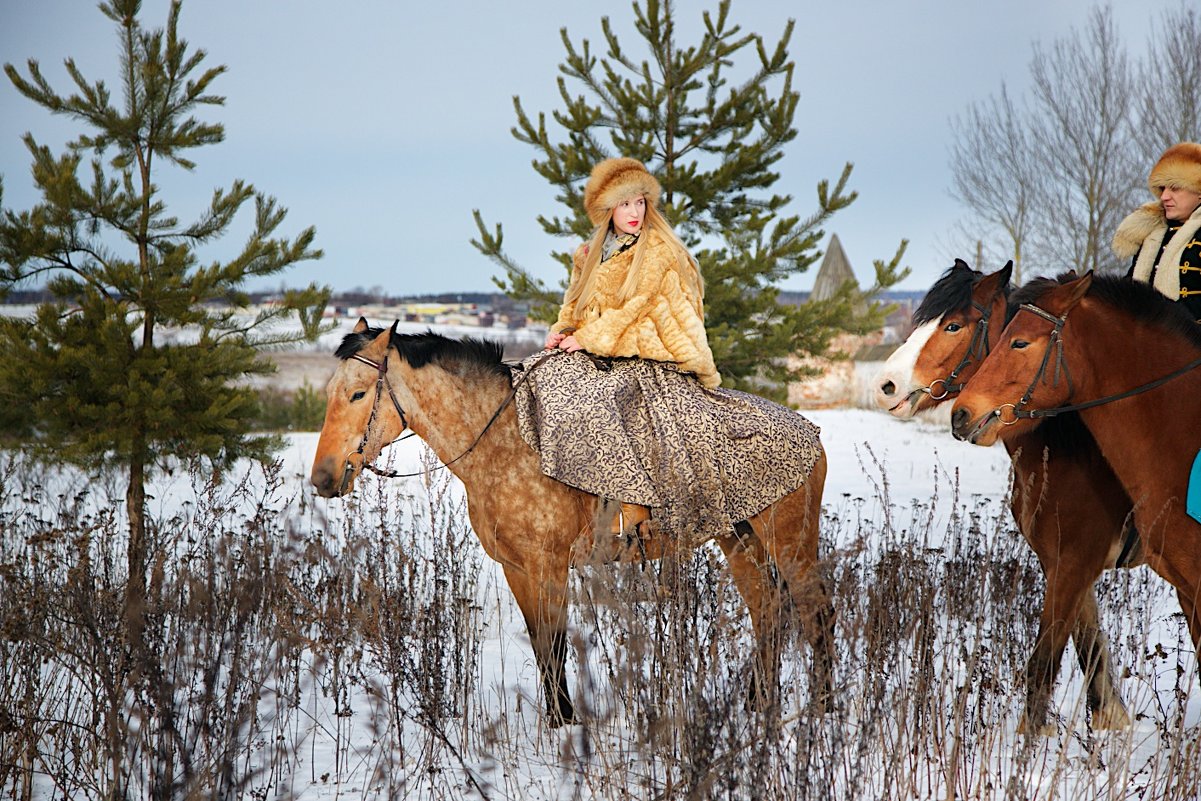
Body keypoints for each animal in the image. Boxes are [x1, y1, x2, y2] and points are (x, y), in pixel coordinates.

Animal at [309, 319, 835, 725]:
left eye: (358, 393)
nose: (323, 478)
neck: (503, 442)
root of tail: (812, 432)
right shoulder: (516, 568)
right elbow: (542, 643)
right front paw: (556, 722)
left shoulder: (549, 564)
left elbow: (557, 642)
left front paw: (565, 725)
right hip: (738, 537)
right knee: (767, 609)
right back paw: (759, 705)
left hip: (791, 541)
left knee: (816, 612)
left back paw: (822, 710)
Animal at [874, 261, 1133, 734]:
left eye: (953, 325)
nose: (886, 385)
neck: (1068, 446)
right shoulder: (1064, 563)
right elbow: (1089, 645)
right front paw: (1112, 722)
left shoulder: (1074, 561)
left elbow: (1046, 660)